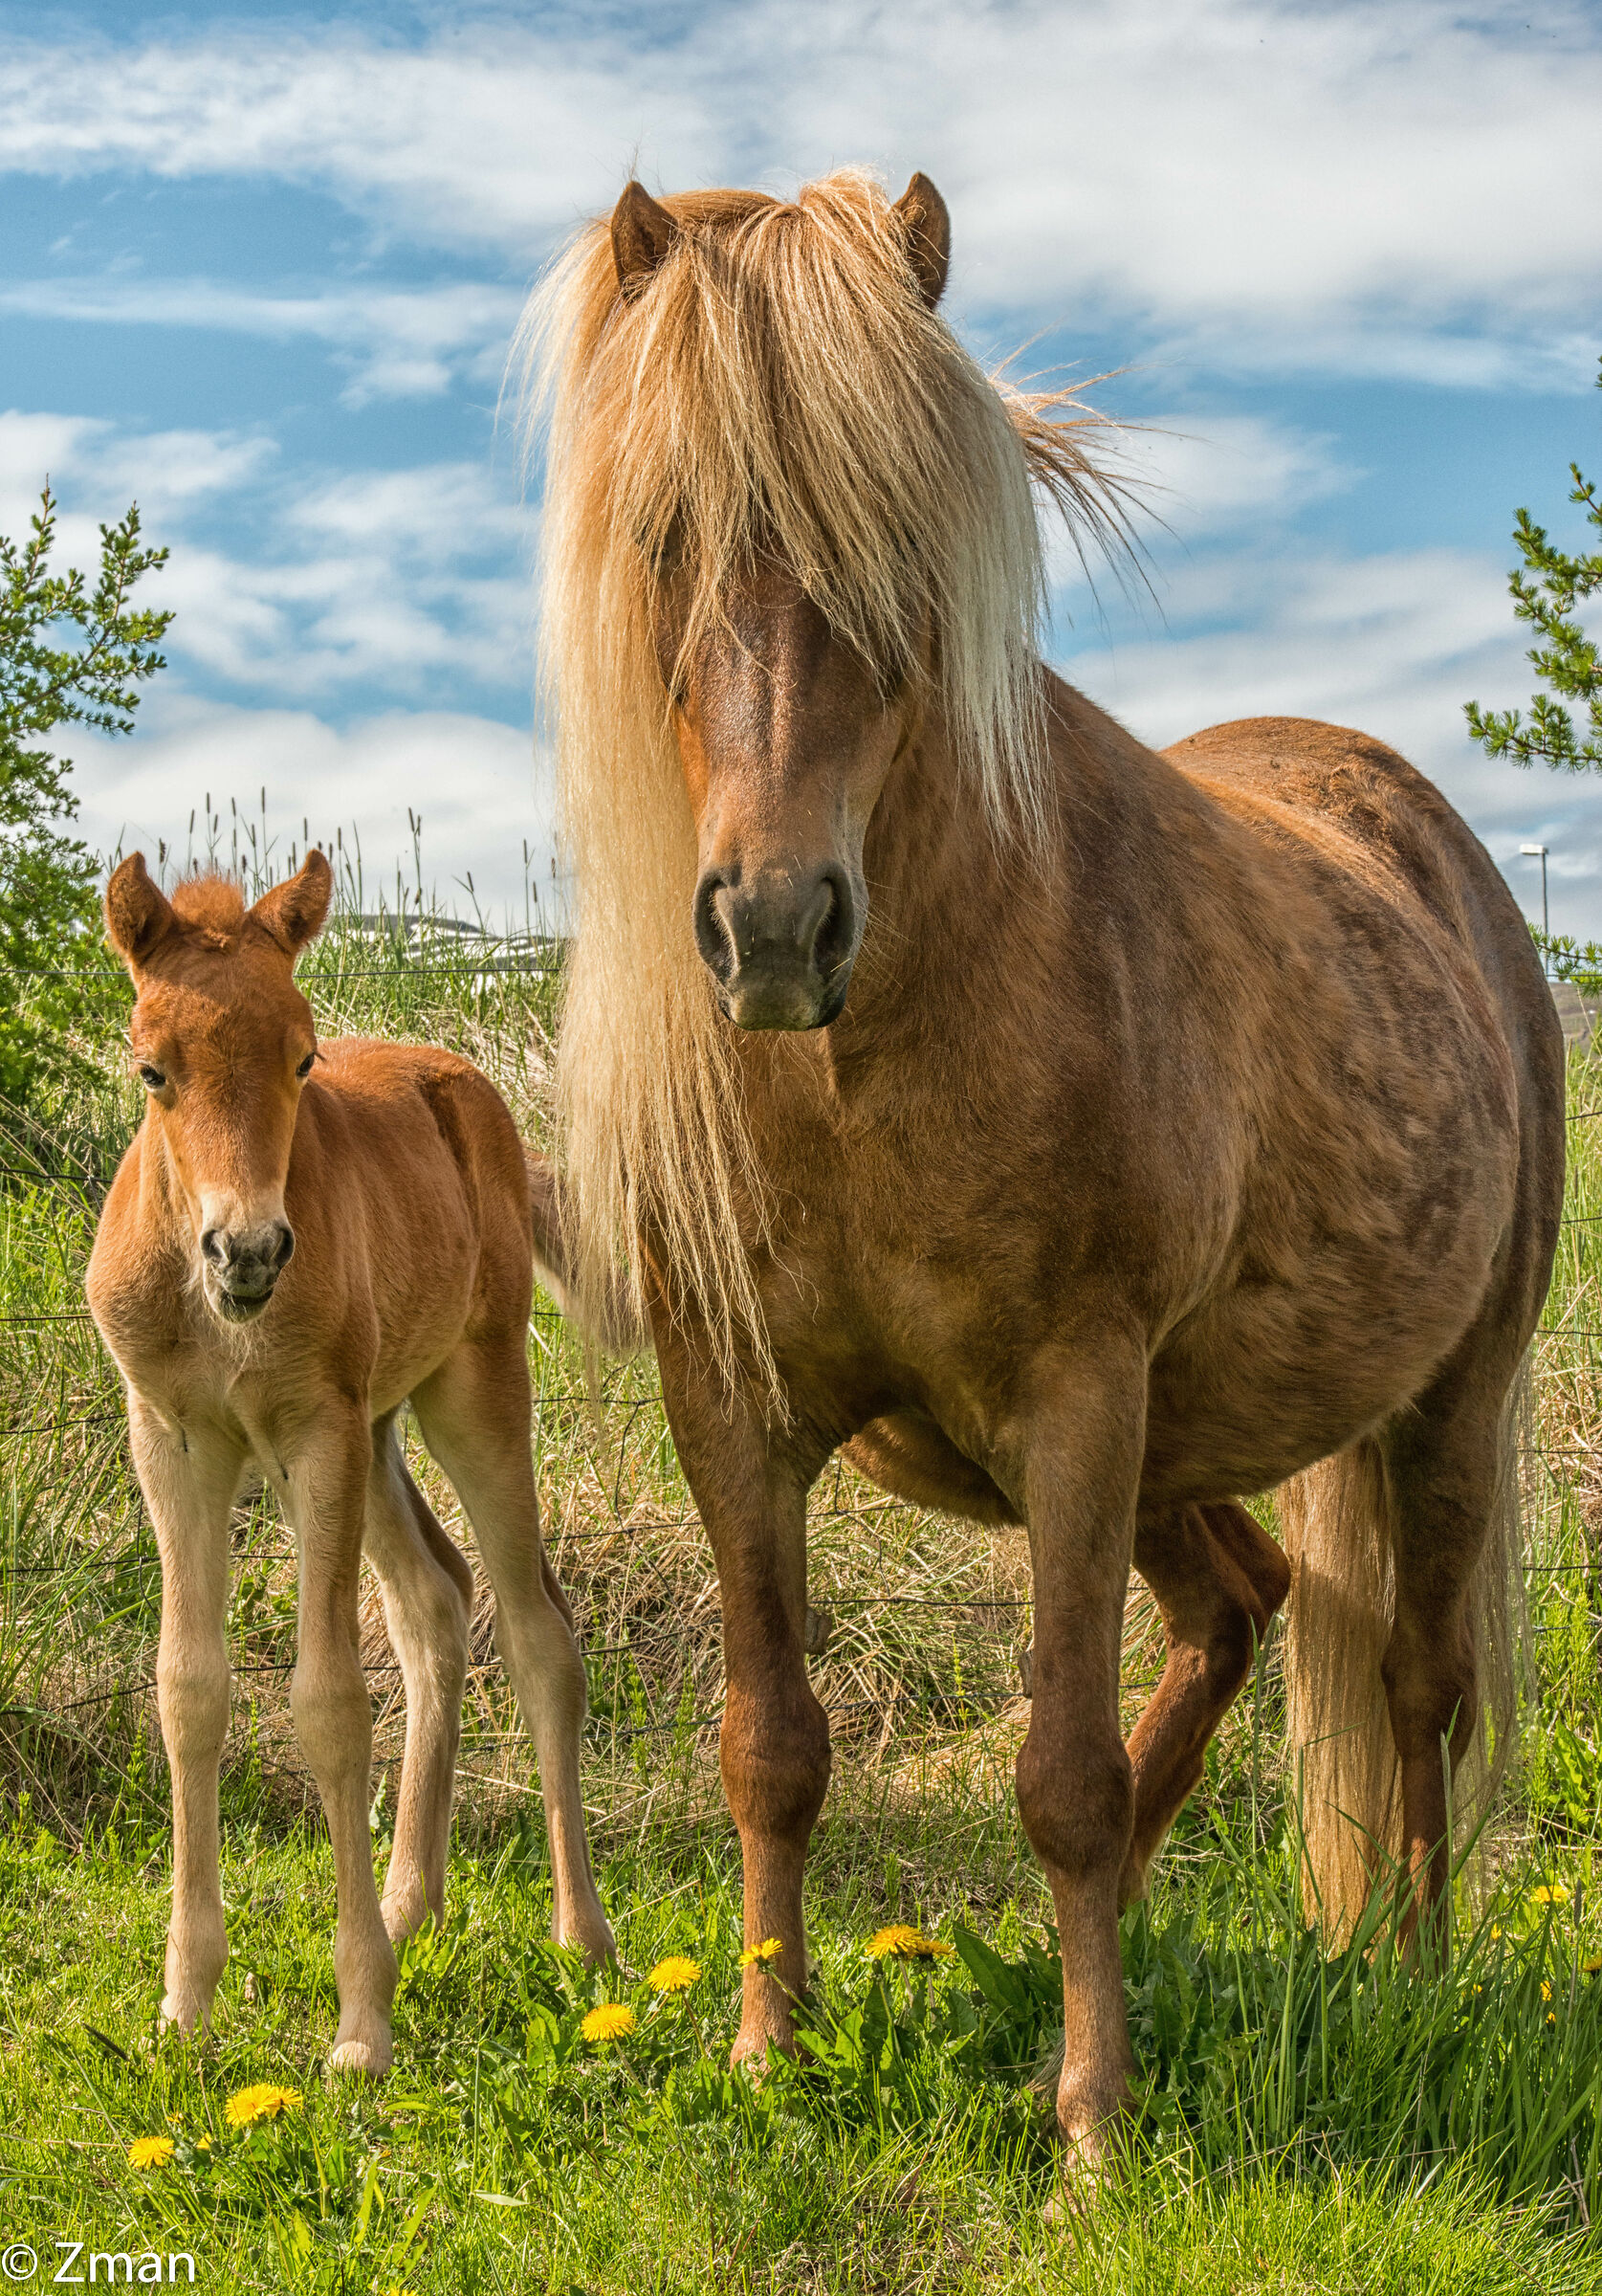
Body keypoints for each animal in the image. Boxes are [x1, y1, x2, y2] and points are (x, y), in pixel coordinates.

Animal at [85, 851, 614, 2078]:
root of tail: (464, 1084)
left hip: (470, 1390)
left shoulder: (310, 1433)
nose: (248, 1251)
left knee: (536, 1632)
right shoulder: (173, 1441)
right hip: (374, 1437)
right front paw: (185, 2006)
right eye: (152, 1069)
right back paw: (409, 1903)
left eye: (301, 1057)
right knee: (435, 1601)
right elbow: (189, 1691)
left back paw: (580, 1937)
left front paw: (362, 2025)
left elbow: (328, 1702)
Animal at [518, 166, 1564, 2186]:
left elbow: (1059, 1774)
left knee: (1413, 1688)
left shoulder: (1077, 1396)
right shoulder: (736, 1411)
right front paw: (772, 2048)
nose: (776, 926)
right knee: (1238, 1607)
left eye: (906, 549)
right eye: (672, 533)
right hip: (1178, 1451)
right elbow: (773, 1741)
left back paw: (1406, 1972)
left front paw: (1093, 2121)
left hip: (1432, 1412)